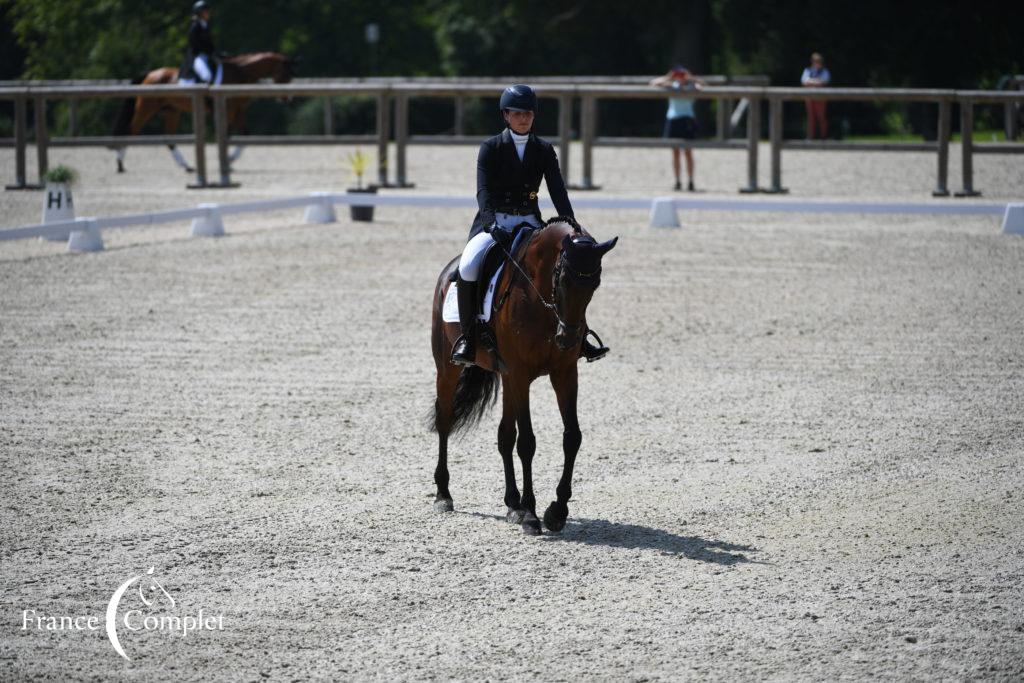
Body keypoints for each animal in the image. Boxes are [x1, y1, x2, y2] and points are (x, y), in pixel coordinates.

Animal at [113, 51, 296, 174]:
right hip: (146, 109)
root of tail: (151, 74)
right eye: (284, 74)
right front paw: (226, 161)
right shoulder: (228, 110)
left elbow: (244, 135)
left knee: (169, 138)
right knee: (132, 131)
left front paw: (229, 160)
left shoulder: (238, 111)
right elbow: (227, 134)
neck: (240, 74)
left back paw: (186, 166)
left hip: (172, 112)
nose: (288, 99)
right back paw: (120, 164)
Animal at [430, 219, 614, 532]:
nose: (568, 339)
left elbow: (572, 437)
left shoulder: (564, 373)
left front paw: (556, 511)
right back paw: (444, 494)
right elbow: (527, 442)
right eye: (562, 280)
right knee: (445, 420)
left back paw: (511, 504)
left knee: (504, 435)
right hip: (448, 368)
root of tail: (447, 272)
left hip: (506, 378)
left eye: (595, 283)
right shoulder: (520, 374)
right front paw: (531, 512)